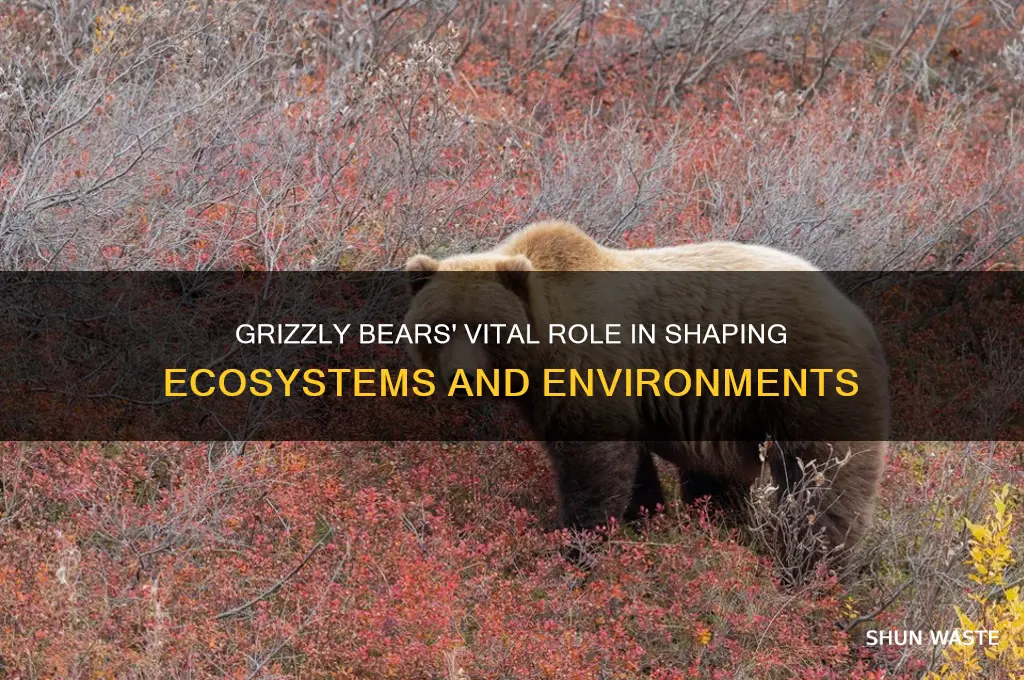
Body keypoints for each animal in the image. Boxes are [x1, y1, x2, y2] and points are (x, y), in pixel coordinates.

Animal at [402, 220, 889, 577]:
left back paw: (809, 568)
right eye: (441, 327)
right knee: (721, 479)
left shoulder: (590, 367)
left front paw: (577, 549)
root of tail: (855, 311)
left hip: (806, 376)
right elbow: (631, 467)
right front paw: (645, 523)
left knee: (821, 482)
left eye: (487, 328)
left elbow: (593, 466)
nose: (462, 376)